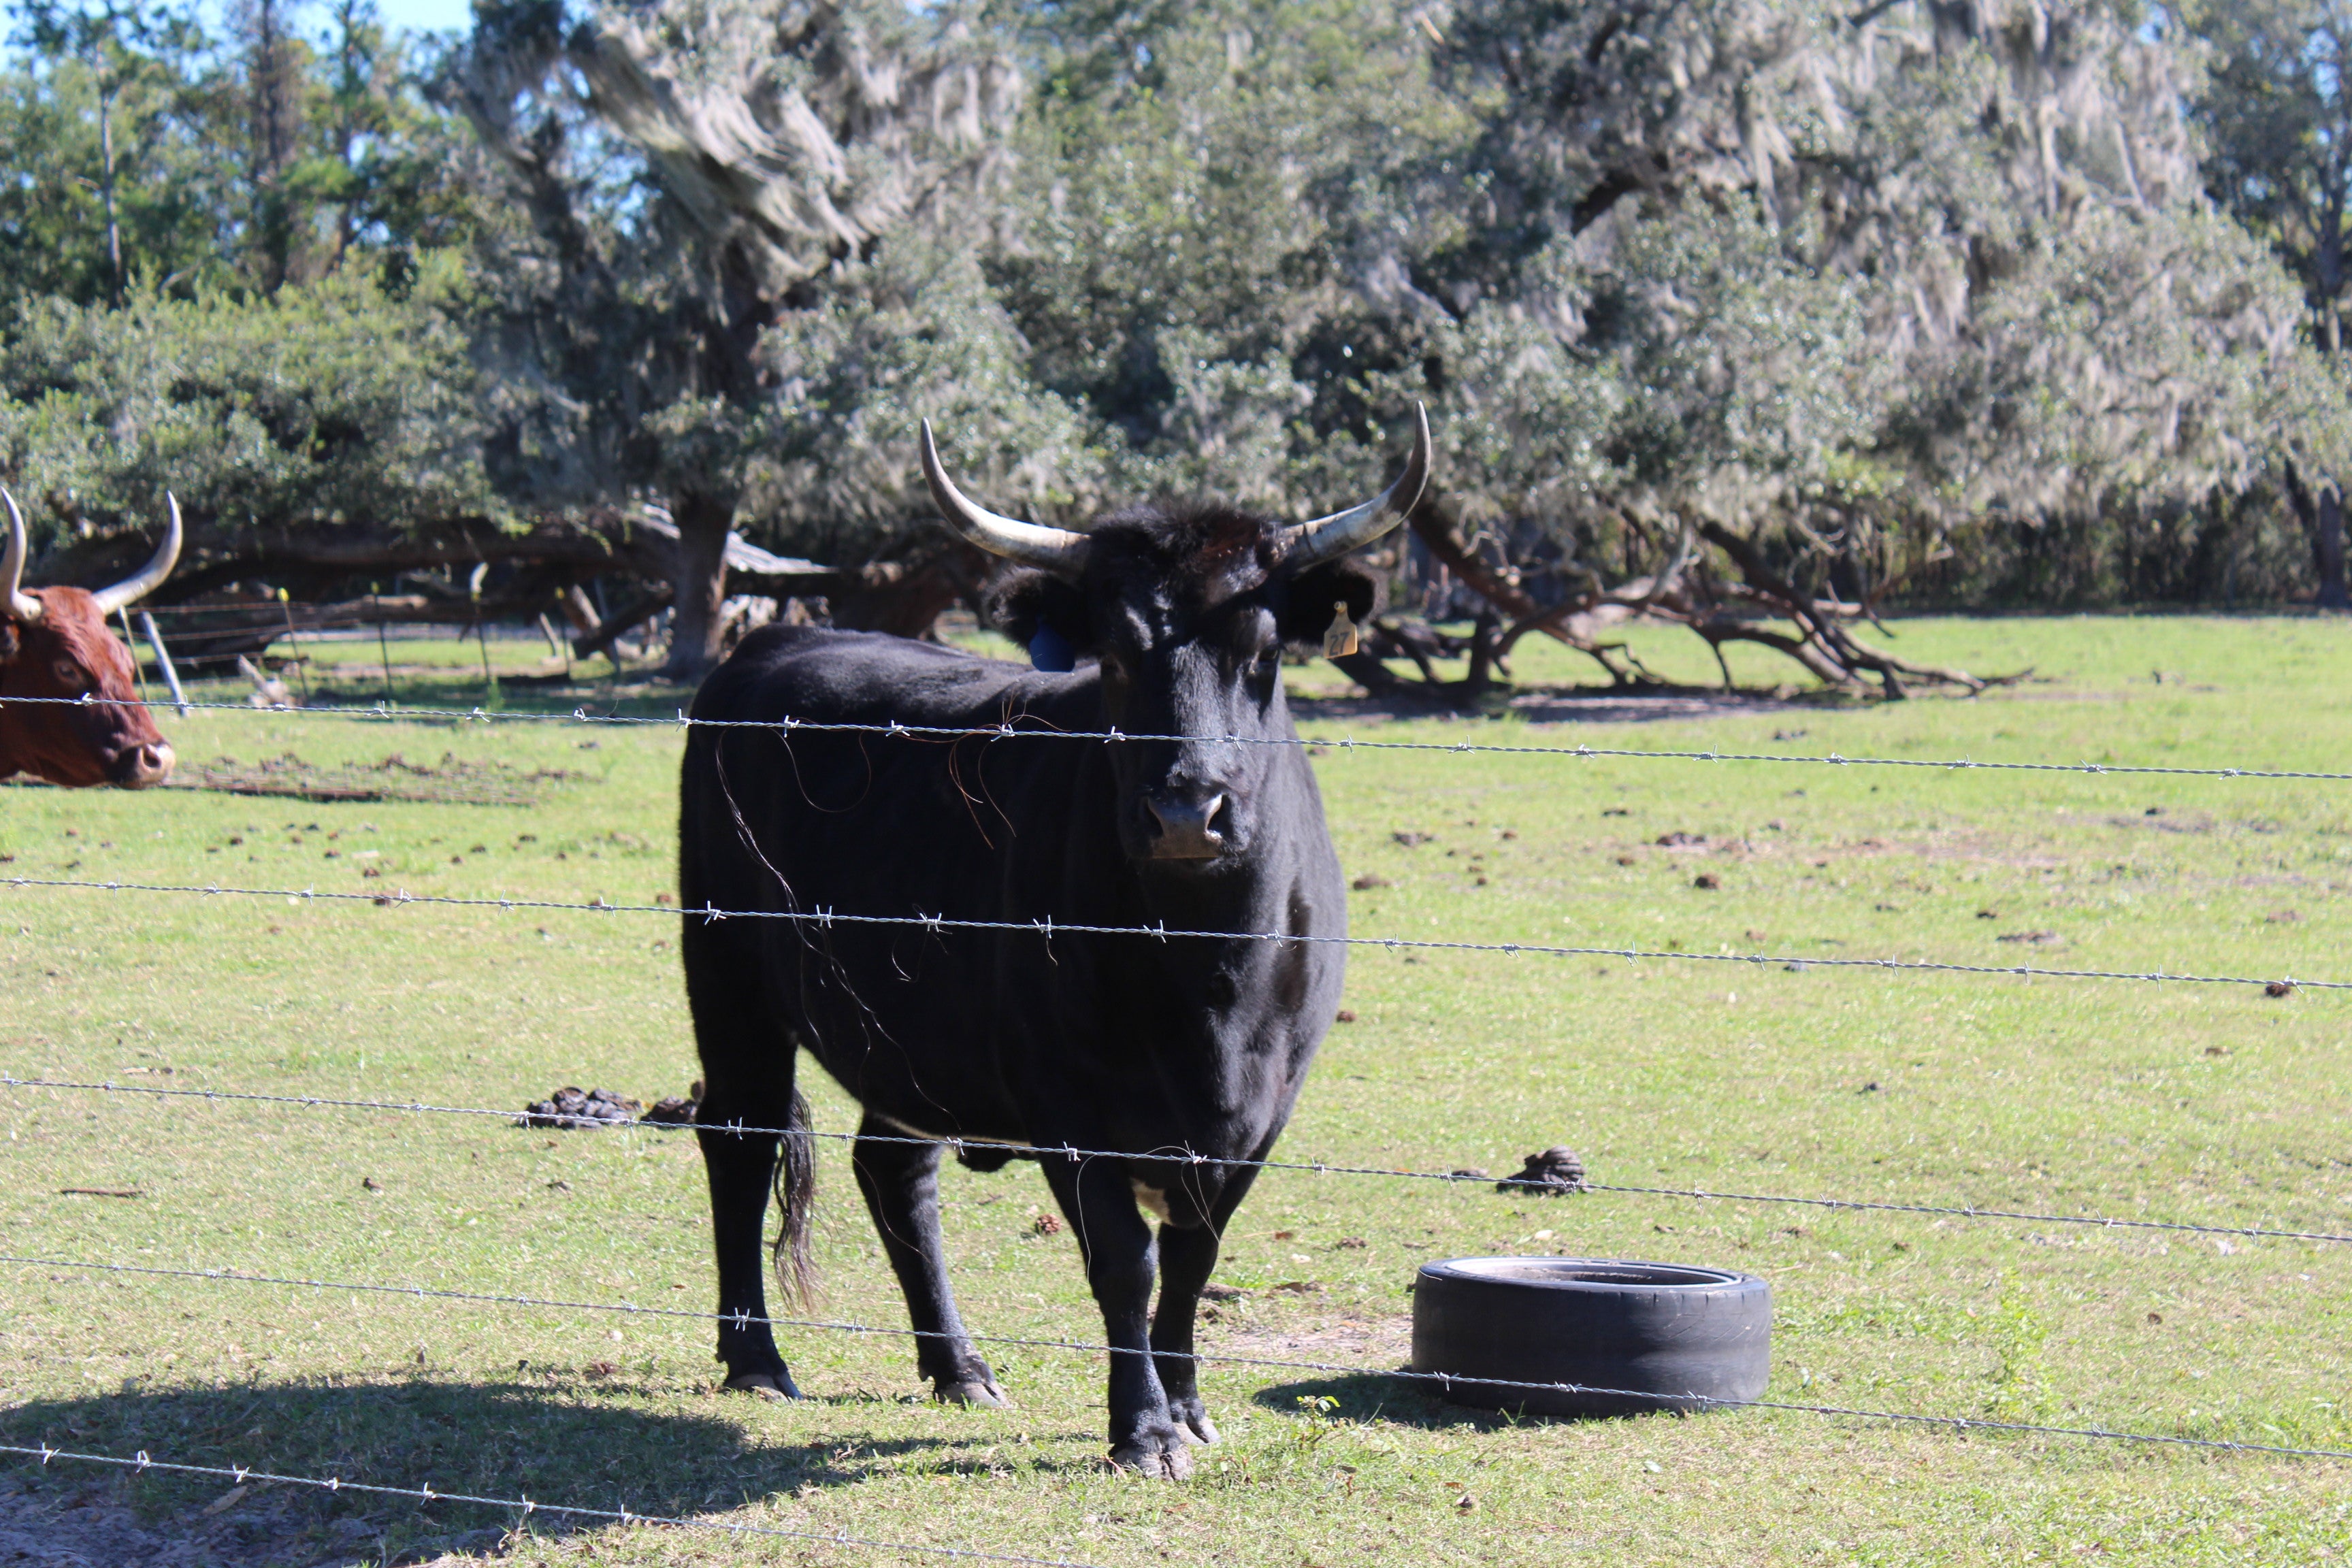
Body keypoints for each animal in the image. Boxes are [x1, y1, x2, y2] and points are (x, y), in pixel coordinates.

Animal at [678, 408, 1428, 1479]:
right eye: (1111, 657)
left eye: (1264, 651)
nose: (1187, 811)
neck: (1204, 974)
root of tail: (776, 642)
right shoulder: (1070, 1107)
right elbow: (1126, 1263)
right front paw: (1144, 1431)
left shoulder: (1263, 1114)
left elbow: (1193, 1259)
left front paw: (1188, 1404)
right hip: (729, 977)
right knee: (739, 1142)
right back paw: (756, 1359)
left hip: (911, 1042)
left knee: (893, 1172)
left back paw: (959, 1368)